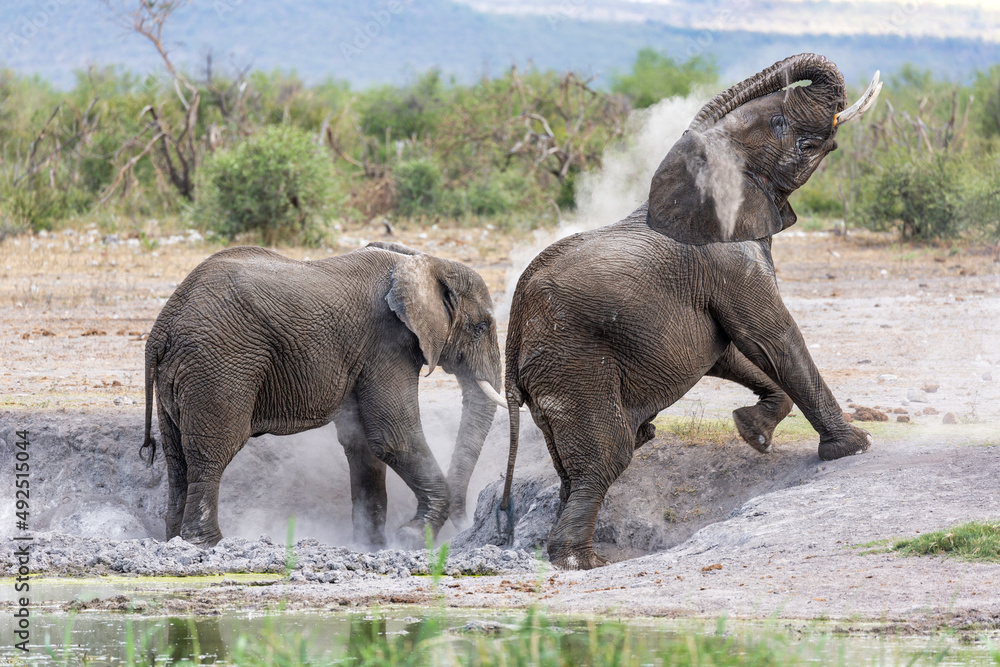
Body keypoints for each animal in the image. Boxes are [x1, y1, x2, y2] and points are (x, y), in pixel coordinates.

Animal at [141, 241, 507, 549]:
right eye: (481, 327)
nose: (466, 521)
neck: (424, 262)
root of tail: (161, 327)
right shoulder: (387, 343)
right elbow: (394, 436)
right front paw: (411, 537)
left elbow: (363, 444)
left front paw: (371, 546)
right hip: (217, 366)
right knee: (211, 452)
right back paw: (207, 544)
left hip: (180, 374)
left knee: (177, 458)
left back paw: (174, 540)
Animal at [501, 54, 883, 569]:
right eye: (779, 123)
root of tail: (513, 330)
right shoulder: (726, 260)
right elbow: (773, 338)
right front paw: (853, 447)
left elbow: (734, 353)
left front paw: (753, 434)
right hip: (573, 363)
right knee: (607, 455)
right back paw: (584, 561)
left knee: (572, 468)